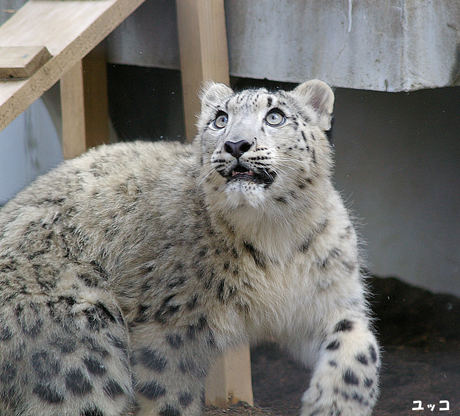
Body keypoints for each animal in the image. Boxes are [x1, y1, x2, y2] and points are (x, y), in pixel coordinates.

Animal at [0, 79, 380, 414]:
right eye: (220, 118)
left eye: (275, 116)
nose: (236, 144)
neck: (274, 234)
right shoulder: (167, 327)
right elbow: (170, 395)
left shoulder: (327, 297)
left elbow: (361, 343)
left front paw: (334, 404)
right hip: (83, 349)